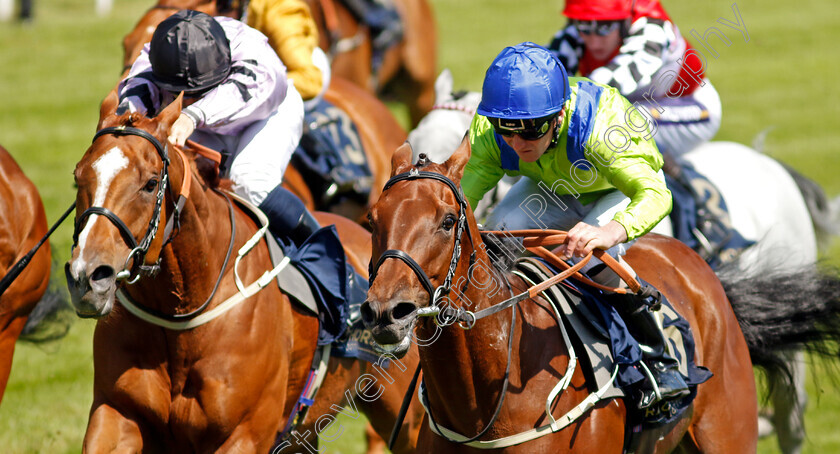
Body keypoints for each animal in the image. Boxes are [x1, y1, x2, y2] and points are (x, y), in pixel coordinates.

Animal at [65, 91, 424, 450]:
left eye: (151, 183)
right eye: (78, 177)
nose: (88, 276)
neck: (181, 313)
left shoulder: (246, 433)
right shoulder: (116, 411)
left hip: (405, 415)